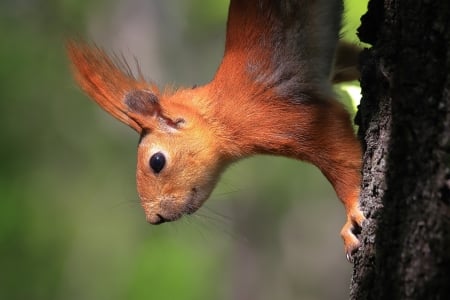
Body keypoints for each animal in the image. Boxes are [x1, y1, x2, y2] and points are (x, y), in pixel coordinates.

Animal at [67, 0, 366, 262]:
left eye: (157, 161)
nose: (154, 219)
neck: (219, 115)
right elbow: (350, 57)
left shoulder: (287, 119)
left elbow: (343, 157)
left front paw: (352, 211)